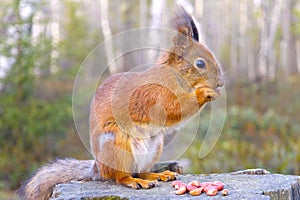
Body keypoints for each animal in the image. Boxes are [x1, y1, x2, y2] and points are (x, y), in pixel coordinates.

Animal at [18, 7, 223, 199]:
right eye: (200, 63)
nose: (220, 83)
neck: (174, 76)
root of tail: (99, 167)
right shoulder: (154, 96)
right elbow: (174, 108)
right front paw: (204, 93)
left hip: (154, 146)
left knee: (141, 170)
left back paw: (157, 175)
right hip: (116, 145)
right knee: (120, 177)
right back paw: (135, 181)